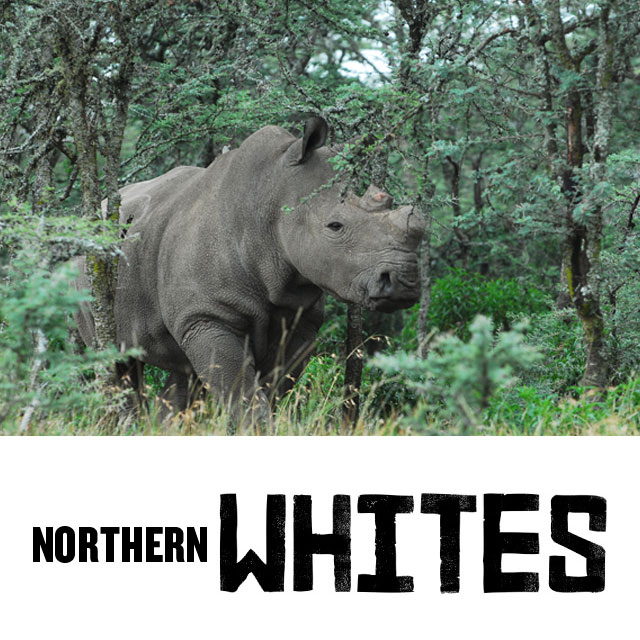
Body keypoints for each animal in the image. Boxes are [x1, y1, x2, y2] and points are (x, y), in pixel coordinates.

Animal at [74, 116, 425, 419]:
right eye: (335, 226)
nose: (405, 282)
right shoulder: (208, 315)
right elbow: (241, 396)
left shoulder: (299, 320)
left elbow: (270, 393)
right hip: (88, 265)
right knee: (115, 360)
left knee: (181, 370)